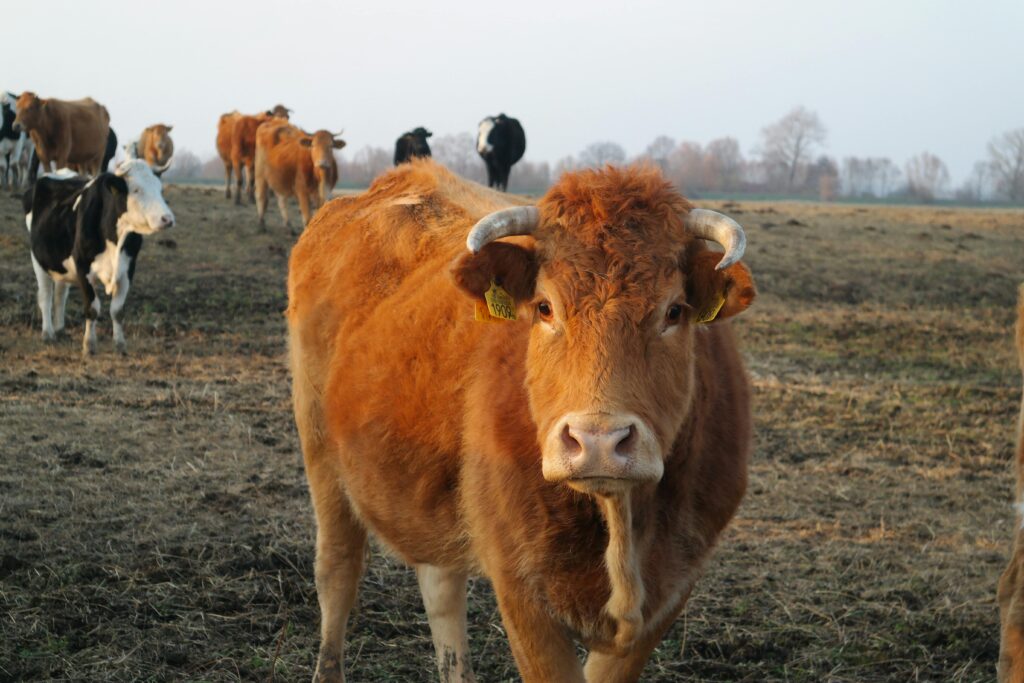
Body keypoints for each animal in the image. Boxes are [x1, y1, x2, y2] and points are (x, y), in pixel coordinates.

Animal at [23, 159, 174, 356]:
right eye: (136, 190)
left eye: (160, 189)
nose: (168, 219)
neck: (115, 237)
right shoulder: (83, 268)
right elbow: (92, 308)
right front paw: (89, 345)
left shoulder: (128, 269)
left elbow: (117, 310)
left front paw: (120, 345)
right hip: (38, 260)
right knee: (45, 296)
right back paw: (48, 334)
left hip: (60, 264)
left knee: (60, 295)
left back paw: (60, 330)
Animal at [287, 158, 756, 682]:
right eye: (545, 307)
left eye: (674, 311)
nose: (598, 441)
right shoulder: (520, 588)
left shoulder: (674, 587)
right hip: (319, 450)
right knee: (338, 571)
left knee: (440, 587)